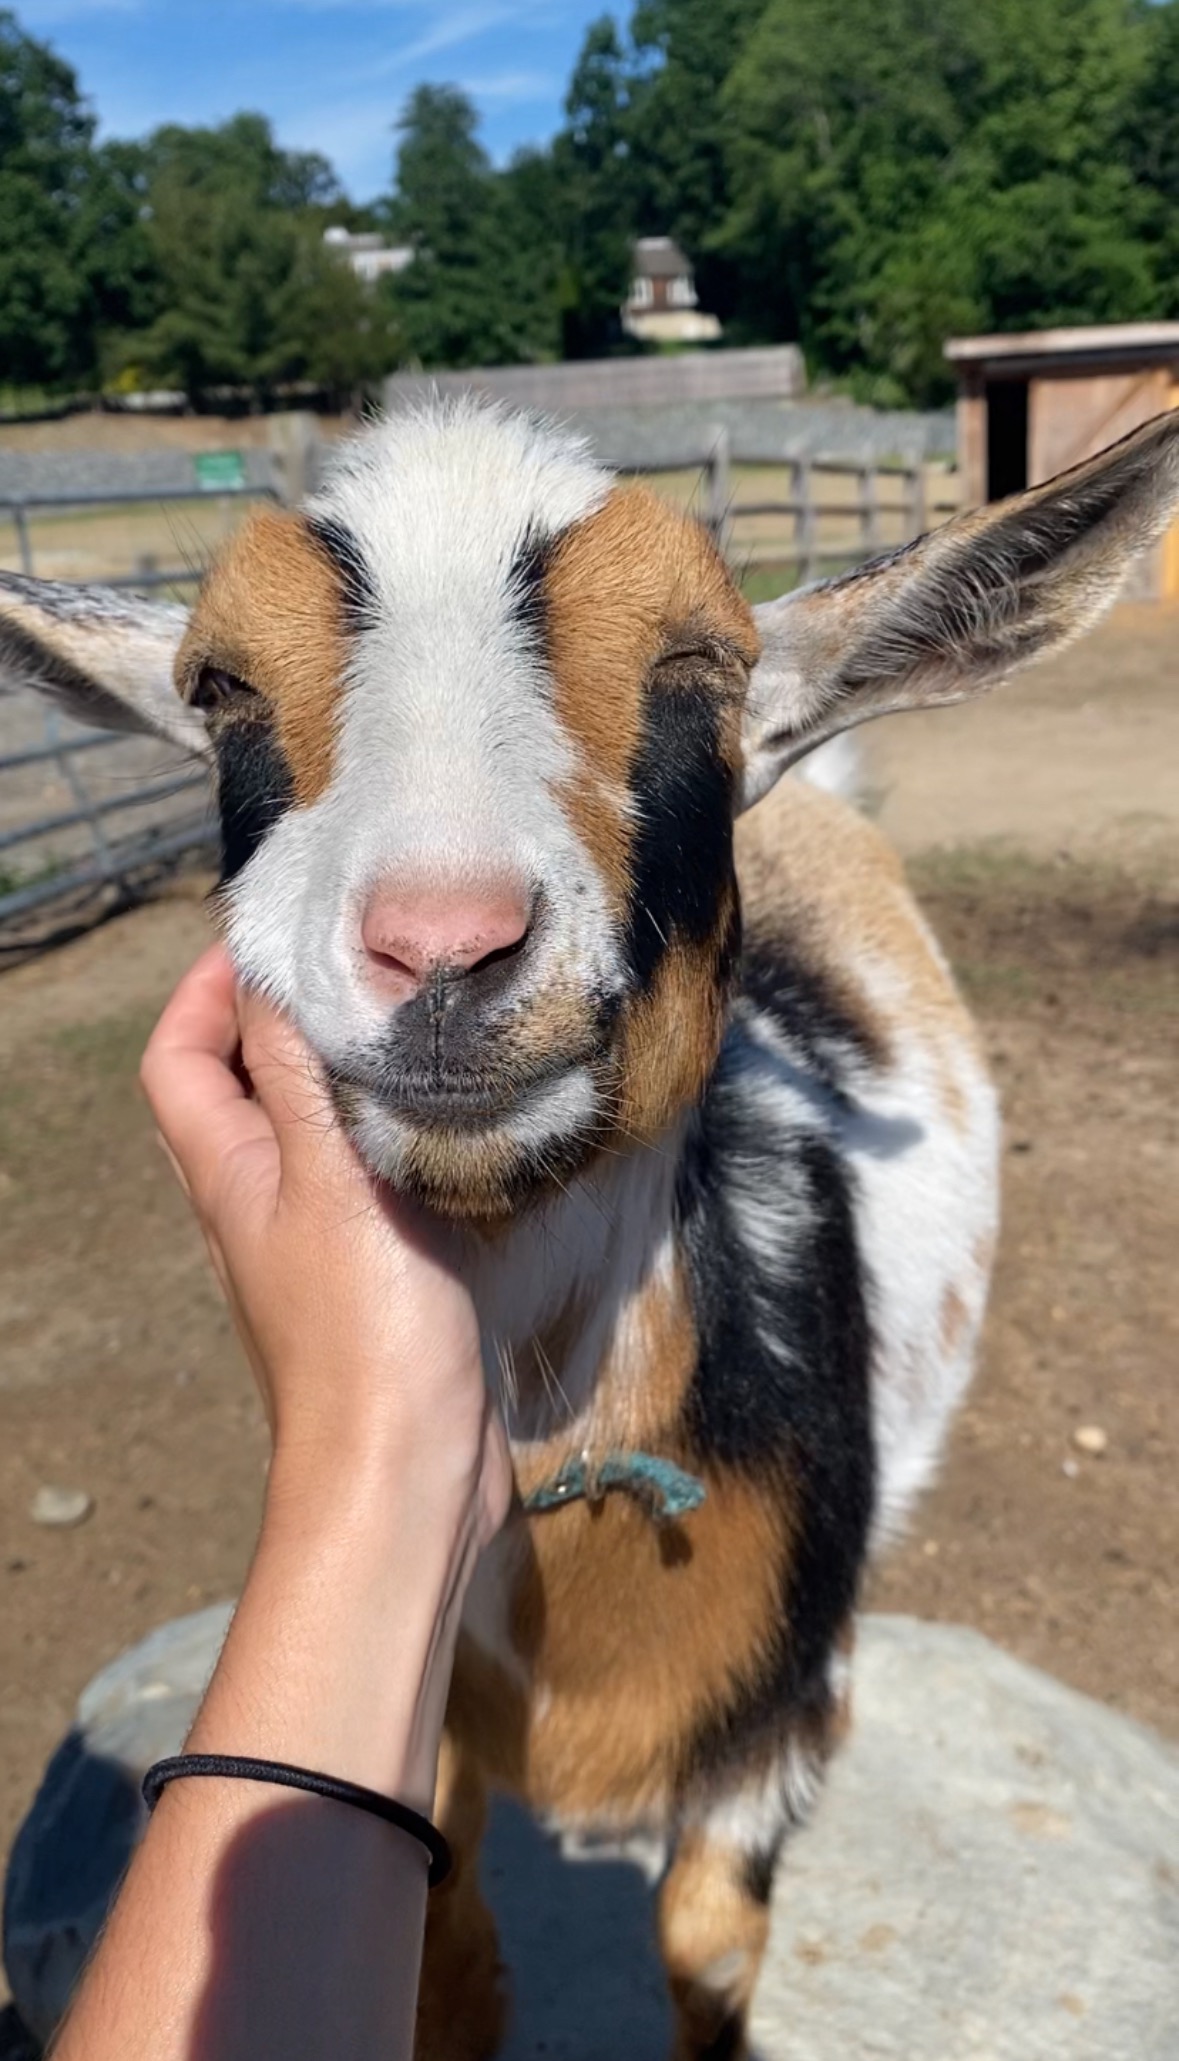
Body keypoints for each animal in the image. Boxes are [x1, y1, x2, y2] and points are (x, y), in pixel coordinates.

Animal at [4, 399, 1177, 2061]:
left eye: (702, 662)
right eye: (218, 686)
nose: (442, 946)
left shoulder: (761, 1744)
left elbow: (704, 1953)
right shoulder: (428, 1743)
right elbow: (450, 1970)